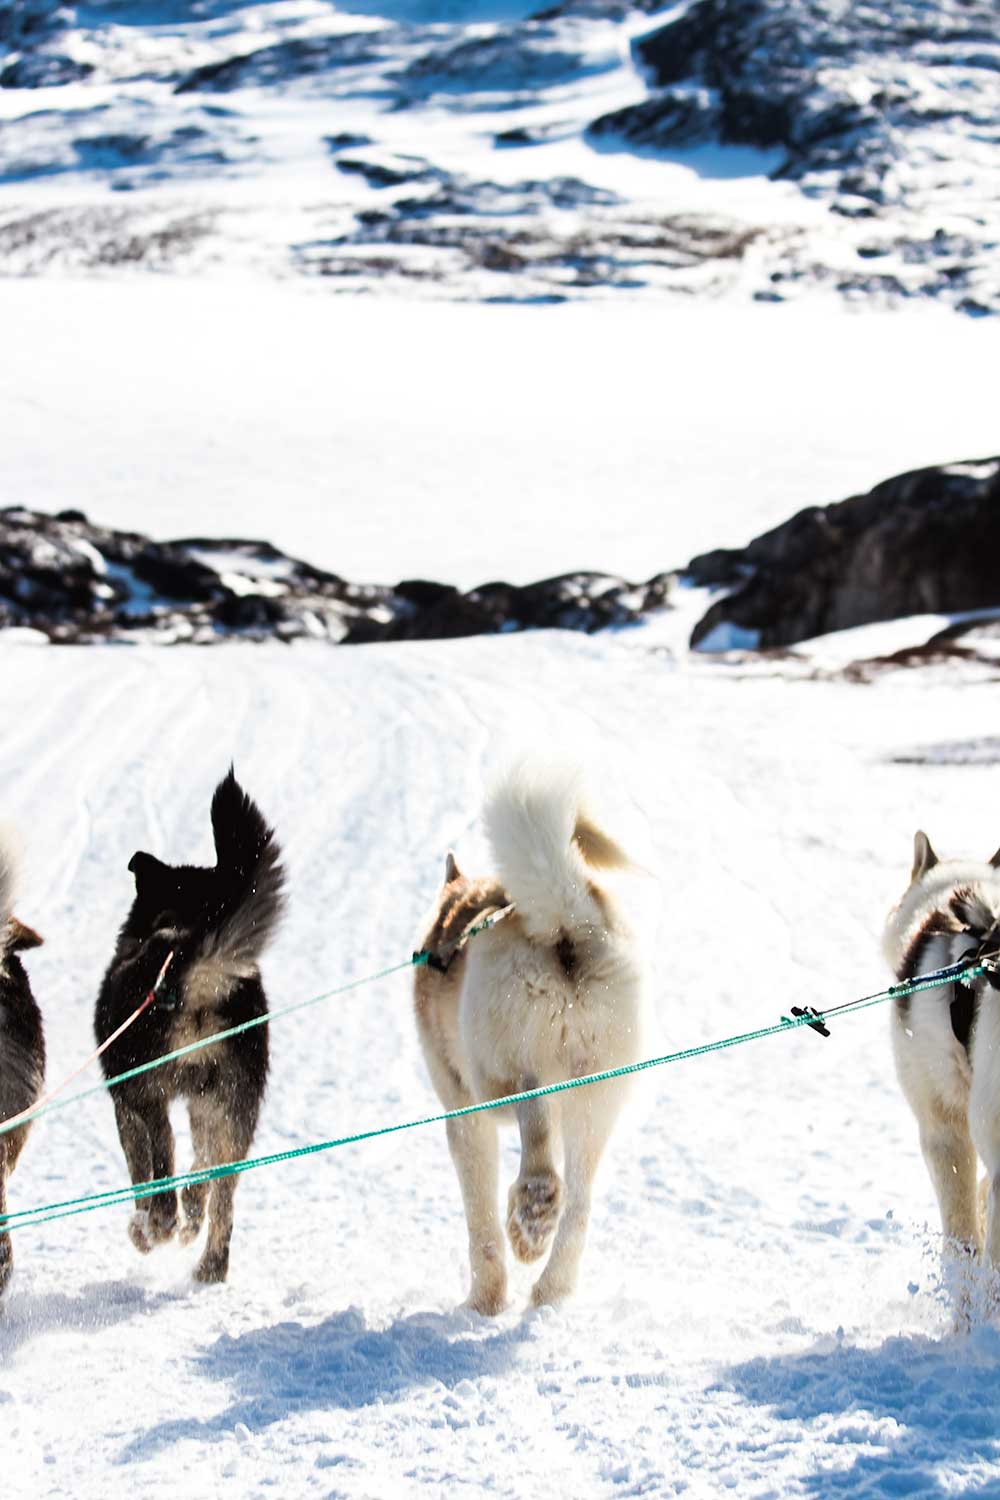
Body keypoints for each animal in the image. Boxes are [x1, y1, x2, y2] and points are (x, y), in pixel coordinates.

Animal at [95, 774, 283, 1278]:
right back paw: (210, 1265)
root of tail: (189, 969)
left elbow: (142, 1173)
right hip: (234, 1104)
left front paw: (147, 1228)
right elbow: (201, 1171)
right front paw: (189, 1218)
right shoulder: (207, 1104)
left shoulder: (128, 1101)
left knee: (164, 1167)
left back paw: (157, 1226)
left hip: (152, 1093)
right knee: (221, 1187)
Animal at [413, 762, 650, 1314]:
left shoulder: (465, 1119)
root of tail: (567, 918)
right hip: (595, 1098)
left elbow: (479, 1221)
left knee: (539, 1157)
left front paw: (485, 1301)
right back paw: (550, 1285)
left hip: (517, 1071)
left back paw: (530, 1220)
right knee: (579, 1201)